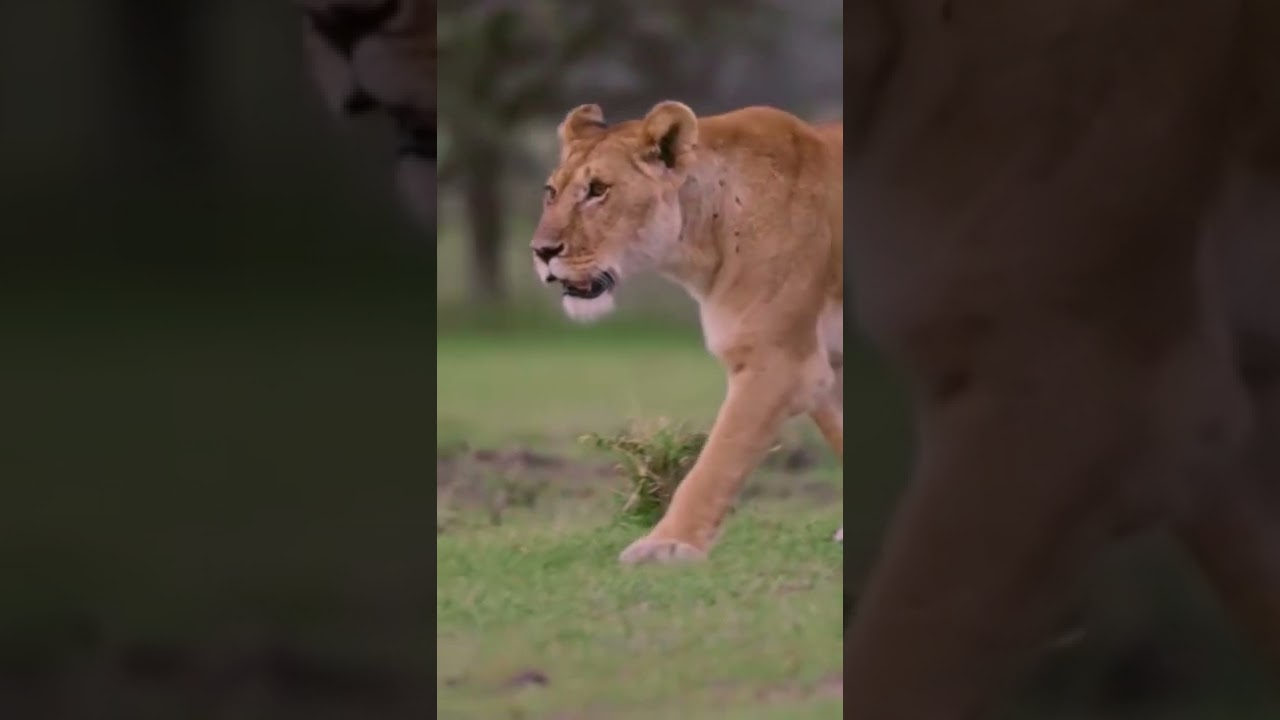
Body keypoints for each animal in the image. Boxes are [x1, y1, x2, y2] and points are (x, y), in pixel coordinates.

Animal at [531, 101, 844, 562]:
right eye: (551, 192)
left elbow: (717, 460)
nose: (542, 251)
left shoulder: (778, 361)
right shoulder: (824, 363)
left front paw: (666, 544)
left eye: (598, 190)